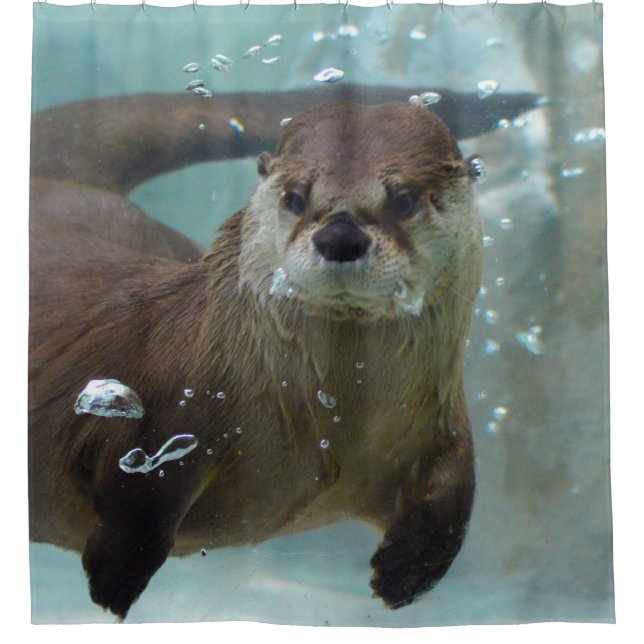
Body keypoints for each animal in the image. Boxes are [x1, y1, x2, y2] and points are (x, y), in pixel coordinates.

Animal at [29, 88, 486, 619]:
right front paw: (114, 576)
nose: (340, 236)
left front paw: (404, 573)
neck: (333, 422)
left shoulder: (440, 419)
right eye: (296, 197)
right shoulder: (166, 409)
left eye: (405, 200)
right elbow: (140, 493)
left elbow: (455, 490)